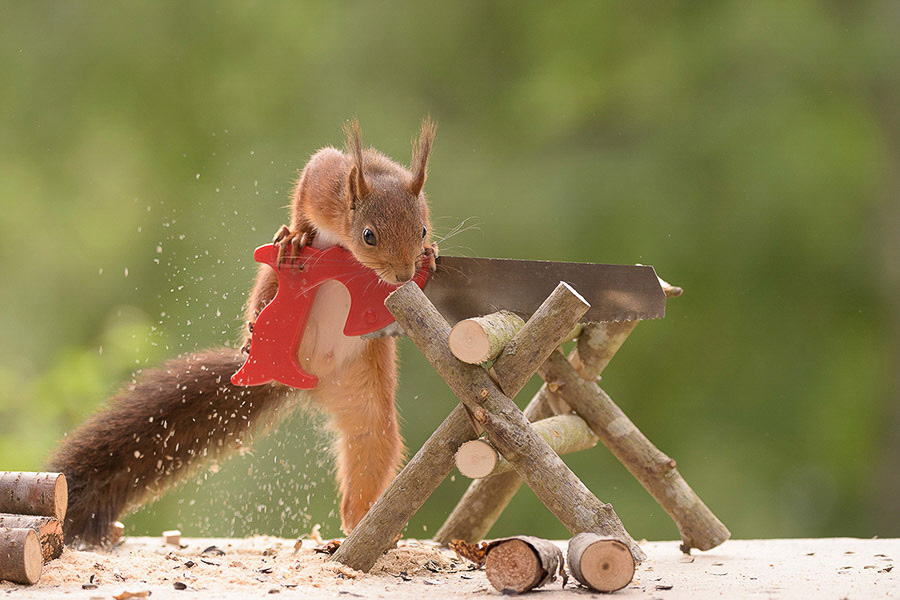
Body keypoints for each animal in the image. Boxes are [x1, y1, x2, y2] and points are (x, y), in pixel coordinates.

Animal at [51, 118, 438, 544]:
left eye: (421, 230)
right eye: (369, 235)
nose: (403, 276)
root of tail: (307, 373)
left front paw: (432, 254)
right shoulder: (323, 181)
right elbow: (304, 194)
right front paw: (296, 234)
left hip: (365, 397)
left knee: (370, 445)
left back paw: (361, 526)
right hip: (272, 282)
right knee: (266, 294)